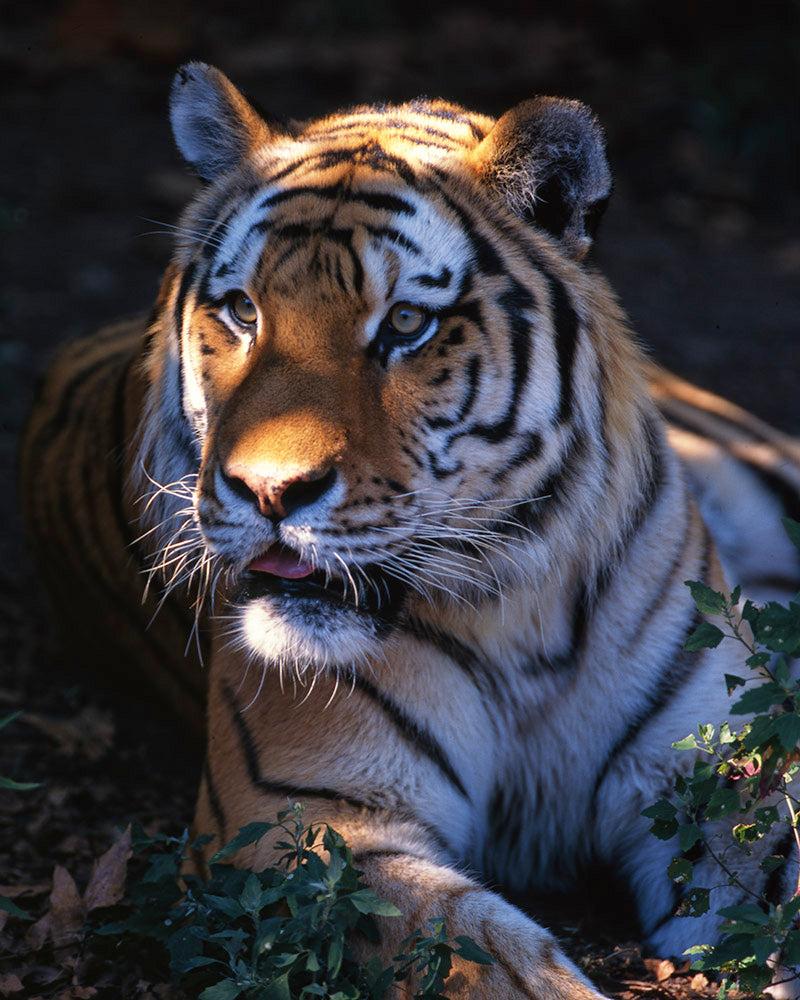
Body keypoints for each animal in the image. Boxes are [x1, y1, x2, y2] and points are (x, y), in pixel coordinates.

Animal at [20, 62, 800, 998]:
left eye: (403, 323)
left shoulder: (712, 771)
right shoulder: (305, 824)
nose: (268, 490)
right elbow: (489, 962)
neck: (519, 606)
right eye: (243, 311)